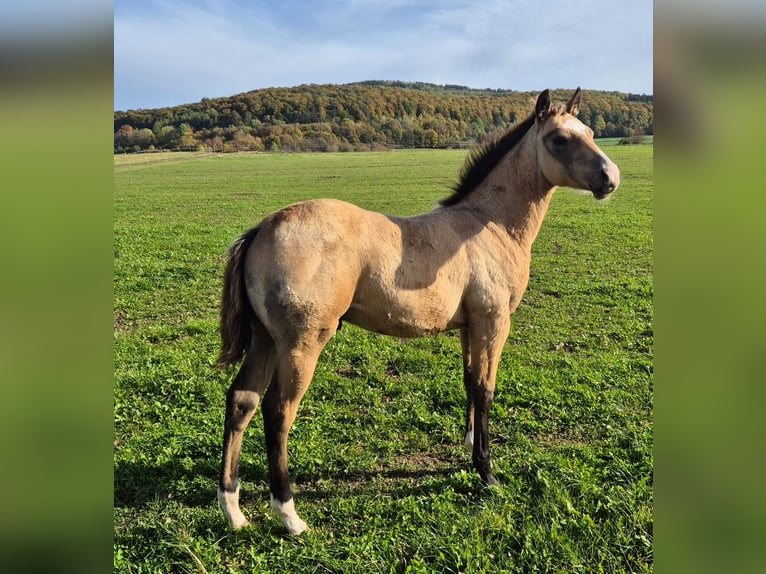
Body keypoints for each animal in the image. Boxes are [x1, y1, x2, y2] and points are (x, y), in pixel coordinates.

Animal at [214, 89, 616, 536]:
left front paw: (469, 445)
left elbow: (469, 381)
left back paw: (233, 509)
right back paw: (289, 514)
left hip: (265, 339)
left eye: (591, 132)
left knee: (242, 401)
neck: (489, 225)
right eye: (560, 139)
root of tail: (261, 229)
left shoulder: (469, 325)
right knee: (278, 411)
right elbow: (486, 389)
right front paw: (487, 471)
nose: (610, 178)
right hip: (301, 343)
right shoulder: (494, 321)